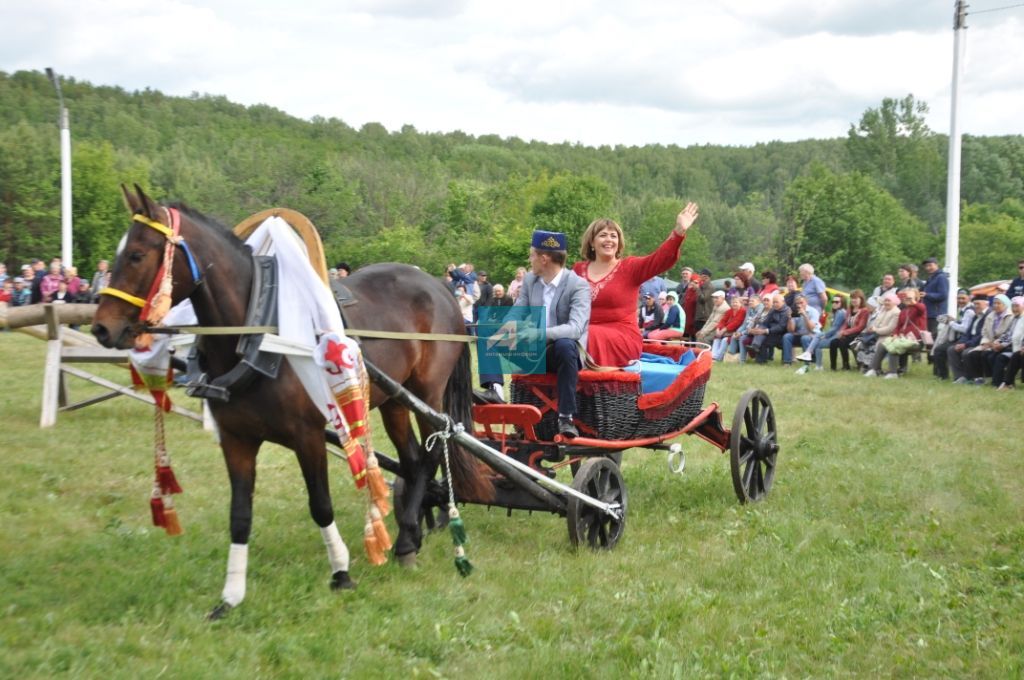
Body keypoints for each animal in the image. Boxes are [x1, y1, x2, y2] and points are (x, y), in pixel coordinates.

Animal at [92, 184, 491, 614]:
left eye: (136, 254)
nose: (101, 328)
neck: (258, 334)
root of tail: (438, 287)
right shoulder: (236, 439)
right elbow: (240, 515)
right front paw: (230, 597)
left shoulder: (308, 435)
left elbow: (320, 504)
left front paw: (341, 574)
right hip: (393, 400)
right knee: (414, 461)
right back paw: (411, 534)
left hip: (426, 393)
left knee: (433, 454)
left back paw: (406, 539)